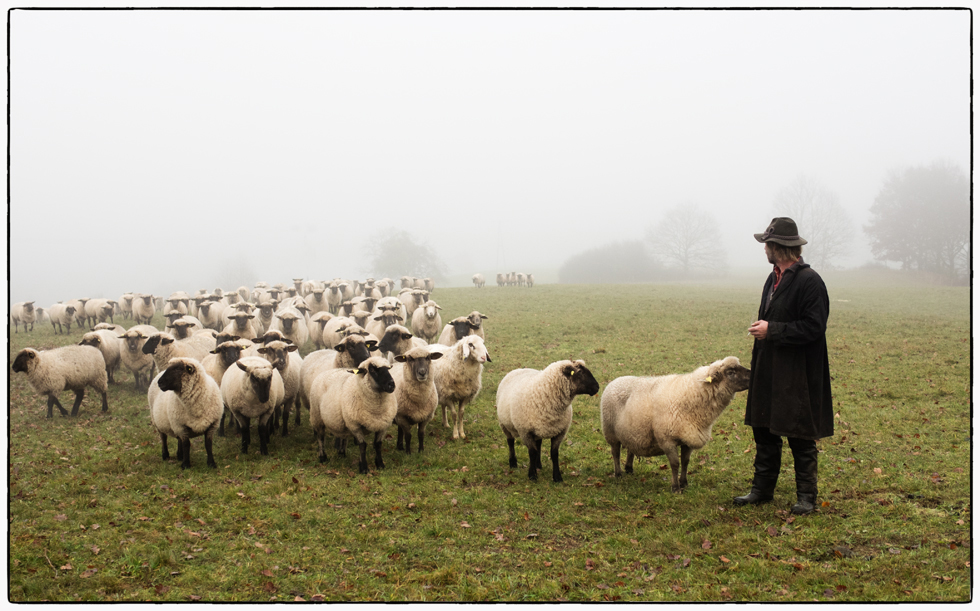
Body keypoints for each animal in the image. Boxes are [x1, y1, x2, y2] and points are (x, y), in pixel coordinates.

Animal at [596, 358, 752, 492]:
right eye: (731, 372)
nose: (752, 375)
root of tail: (616, 380)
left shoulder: (689, 437)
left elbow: (685, 462)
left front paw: (684, 483)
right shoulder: (667, 439)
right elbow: (675, 464)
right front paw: (675, 487)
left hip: (632, 429)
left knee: (630, 448)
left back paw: (629, 468)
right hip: (610, 431)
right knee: (615, 453)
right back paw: (618, 474)